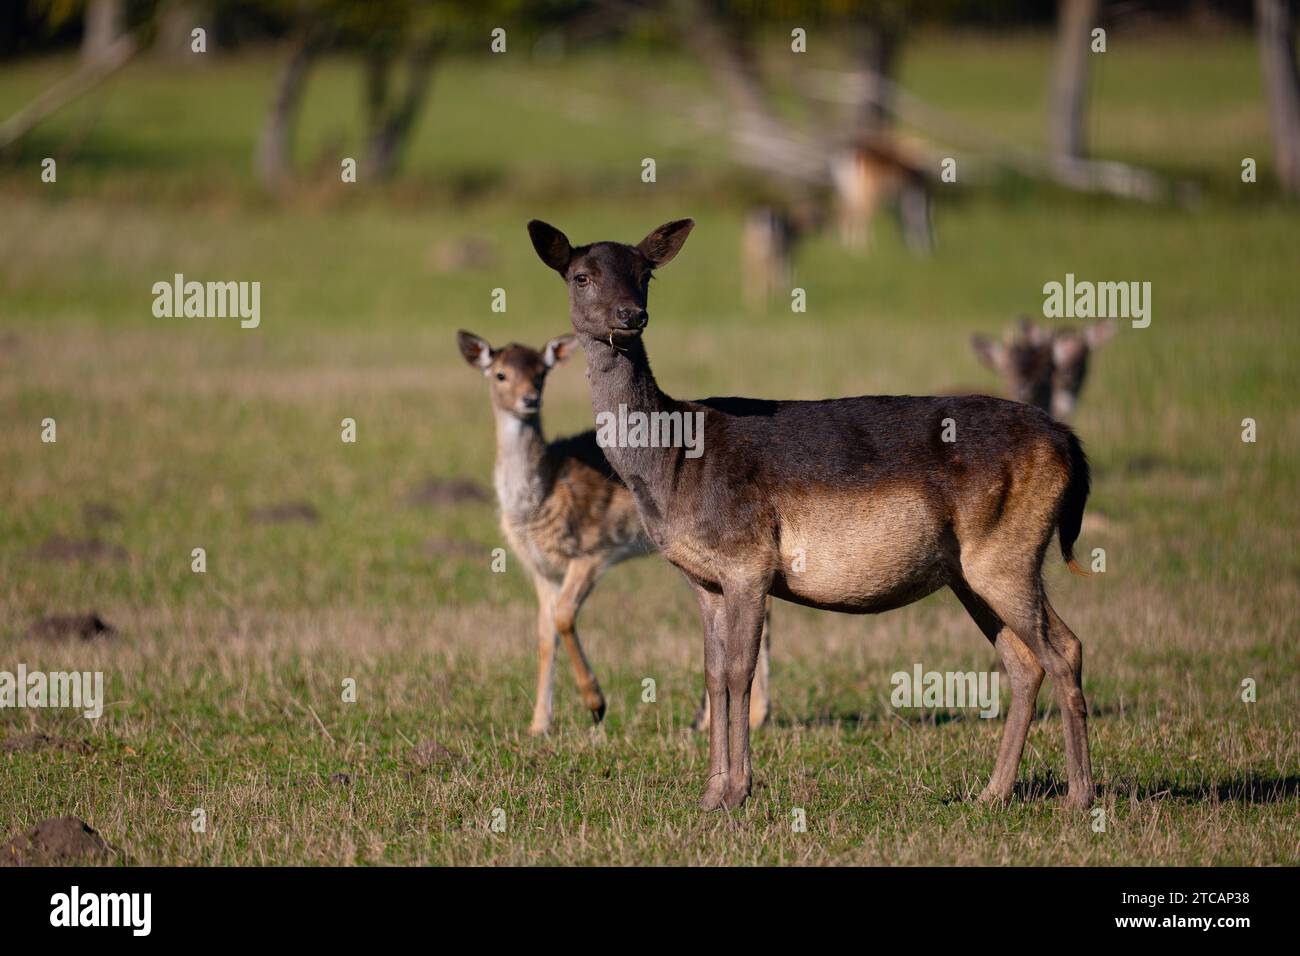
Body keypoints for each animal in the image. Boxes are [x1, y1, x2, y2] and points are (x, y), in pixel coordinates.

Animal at [454, 332, 769, 738]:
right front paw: (538, 725)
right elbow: (543, 635)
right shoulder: (540, 567)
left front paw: (596, 703)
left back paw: (754, 716)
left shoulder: (592, 549)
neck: (540, 496)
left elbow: (563, 616)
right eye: (500, 374)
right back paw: (712, 719)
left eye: (541, 373)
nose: (530, 399)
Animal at [527, 218, 1097, 816]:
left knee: (1065, 648)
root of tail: (1068, 443)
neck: (672, 464)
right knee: (1023, 661)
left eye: (645, 274)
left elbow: (740, 671)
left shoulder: (748, 559)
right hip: (969, 572)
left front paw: (737, 792)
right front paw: (709, 794)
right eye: (581, 275)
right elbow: (710, 673)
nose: (630, 315)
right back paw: (993, 792)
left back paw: (1078, 796)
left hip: (1007, 553)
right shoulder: (703, 578)